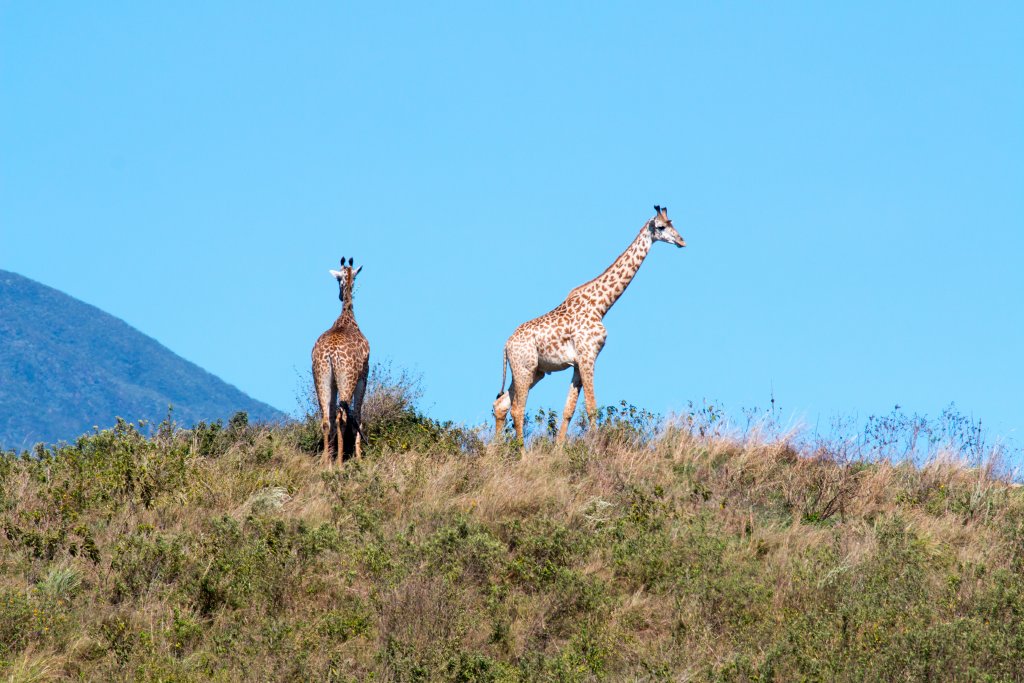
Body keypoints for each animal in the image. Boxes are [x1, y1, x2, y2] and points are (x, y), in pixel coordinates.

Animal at [312, 257, 370, 464]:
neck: (347, 316)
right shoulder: (364, 376)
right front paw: (359, 458)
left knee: (326, 419)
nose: (339, 295)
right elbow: (358, 417)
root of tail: (330, 355)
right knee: (341, 417)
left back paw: (326, 463)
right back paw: (338, 463)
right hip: (347, 379)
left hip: (321, 377)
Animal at [493, 206, 685, 444]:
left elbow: (569, 410)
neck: (601, 305)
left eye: (672, 223)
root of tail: (506, 345)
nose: (682, 241)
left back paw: (494, 451)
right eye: (660, 227)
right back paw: (521, 452)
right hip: (524, 368)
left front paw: (559, 449)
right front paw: (597, 445)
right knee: (517, 409)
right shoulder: (588, 356)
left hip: (534, 371)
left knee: (500, 404)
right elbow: (592, 407)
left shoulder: (577, 363)